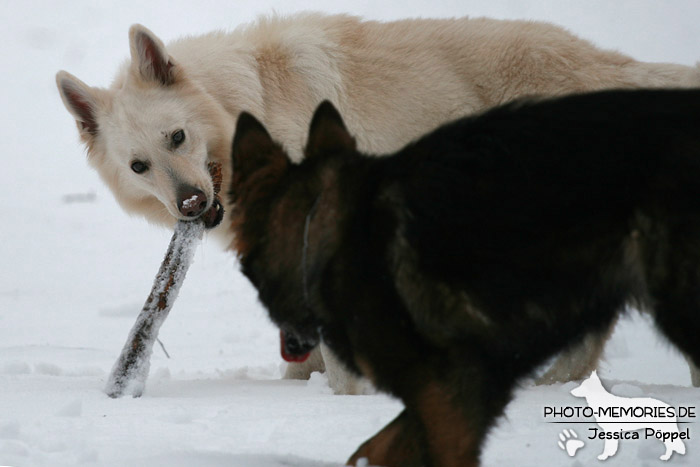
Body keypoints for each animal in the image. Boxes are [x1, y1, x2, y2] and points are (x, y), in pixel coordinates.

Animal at [56, 12, 700, 394]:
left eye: (178, 137)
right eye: (139, 166)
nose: (190, 204)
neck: (248, 104)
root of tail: (619, 72)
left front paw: (347, 397)